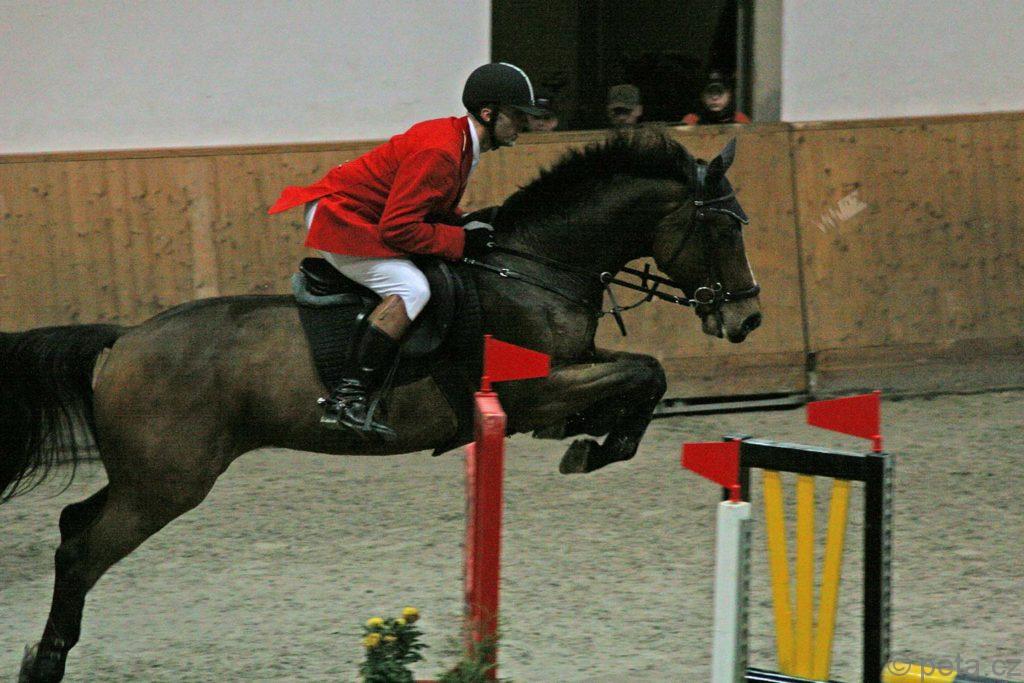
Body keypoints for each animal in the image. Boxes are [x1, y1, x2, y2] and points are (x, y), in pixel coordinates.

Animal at [3, 131, 761, 681]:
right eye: (725, 230)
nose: (748, 319)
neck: (533, 269)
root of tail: (121, 340)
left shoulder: (568, 371)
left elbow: (642, 375)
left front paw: (593, 437)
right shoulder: (528, 393)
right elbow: (643, 370)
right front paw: (593, 444)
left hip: (150, 477)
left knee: (74, 526)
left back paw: (48, 651)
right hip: (168, 484)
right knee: (81, 552)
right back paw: (46, 663)